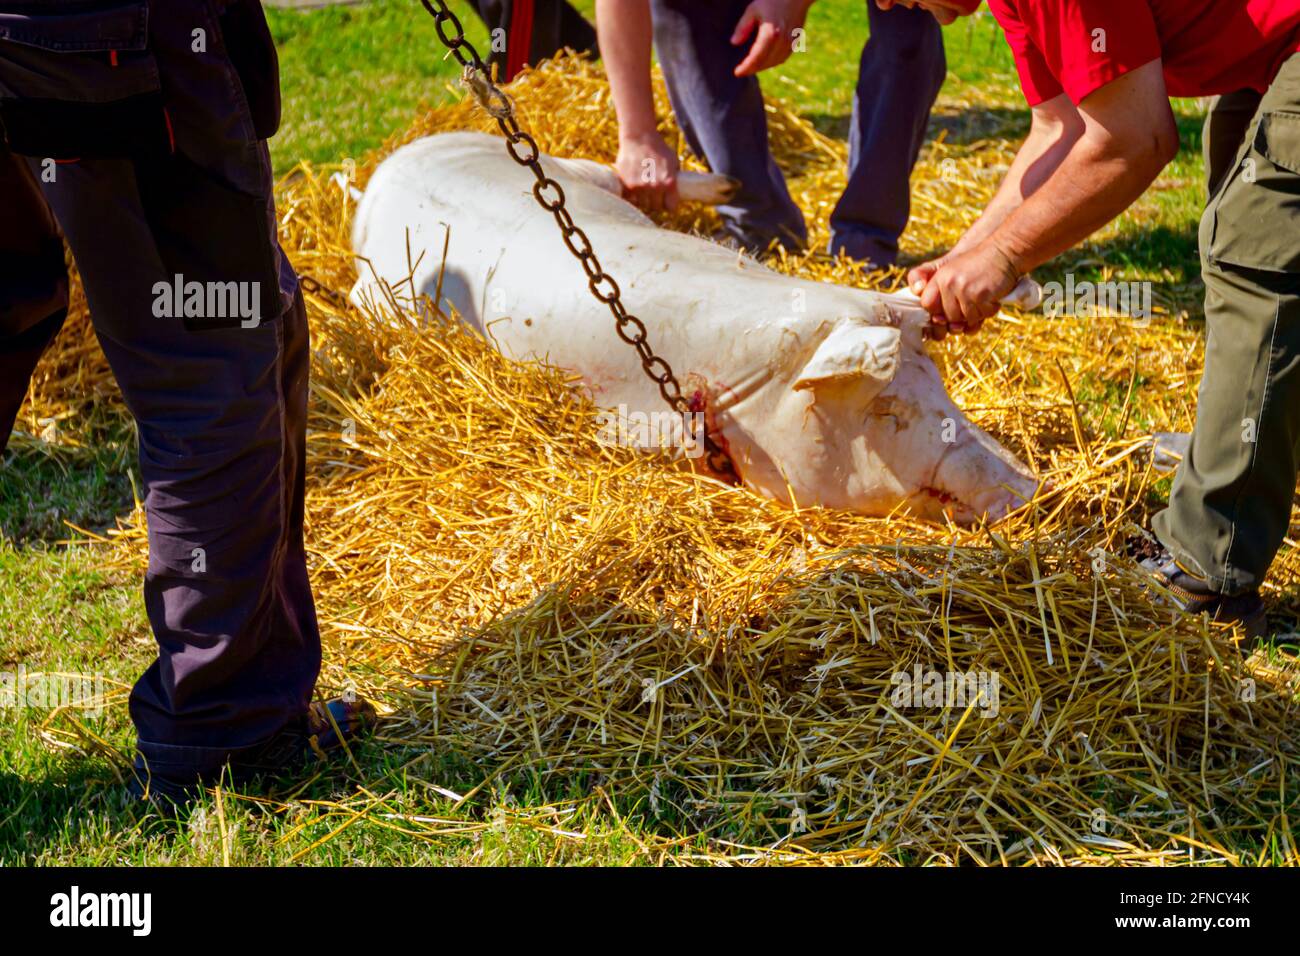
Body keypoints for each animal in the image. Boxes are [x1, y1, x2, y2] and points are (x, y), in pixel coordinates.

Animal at [349, 132, 1038, 523]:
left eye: (941, 381)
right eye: (886, 407)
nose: (1029, 484)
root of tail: (394, 160)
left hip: (562, 165)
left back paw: (725, 182)